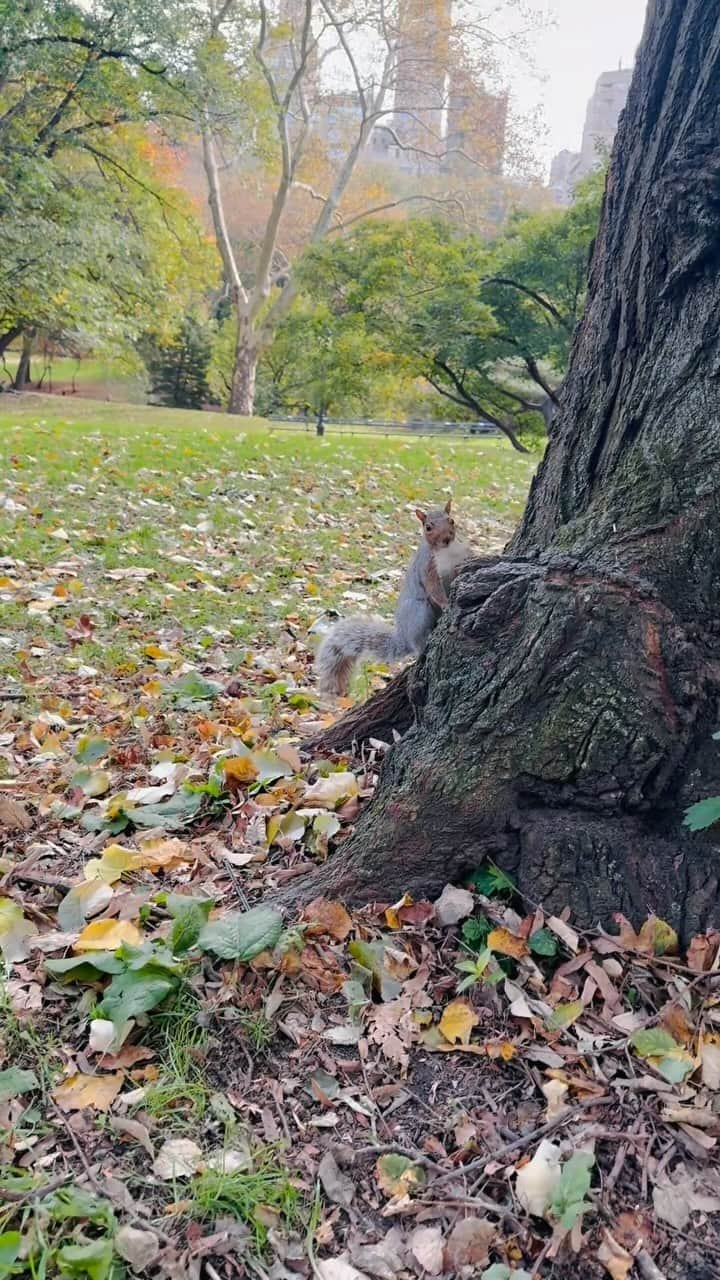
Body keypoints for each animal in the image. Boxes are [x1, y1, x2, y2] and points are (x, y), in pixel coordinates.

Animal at [313, 501, 471, 701]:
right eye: (428, 527)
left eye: (451, 520)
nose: (446, 539)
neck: (446, 552)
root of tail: (404, 636)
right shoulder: (427, 568)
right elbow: (434, 589)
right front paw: (446, 604)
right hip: (420, 613)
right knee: (420, 644)